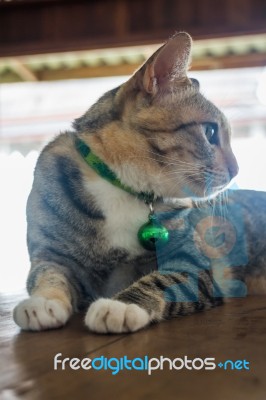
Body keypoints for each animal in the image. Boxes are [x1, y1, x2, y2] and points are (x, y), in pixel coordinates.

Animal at [12, 32, 266, 334]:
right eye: (210, 132)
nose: (236, 170)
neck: (123, 188)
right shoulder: (52, 253)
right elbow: (47, 274)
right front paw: (42, 301)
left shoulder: (195, 263)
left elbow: (161, 280)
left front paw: (120, 305)